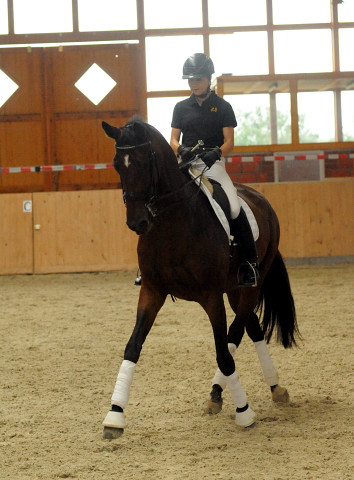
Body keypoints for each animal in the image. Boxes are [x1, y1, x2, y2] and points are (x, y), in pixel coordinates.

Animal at [100, 117, 298, 438]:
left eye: (143, 161)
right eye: (118, 164)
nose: (136, 222)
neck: (172, 223)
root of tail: (259, 198)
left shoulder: (210, 296)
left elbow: (222, 350)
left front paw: (244, 412)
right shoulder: (152, 291)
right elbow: (133, 347)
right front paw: (115, 414)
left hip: (250, 285)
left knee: (236, 333)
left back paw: (239, 393)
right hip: (235, 290)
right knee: (253, 329)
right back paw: (265, 388)